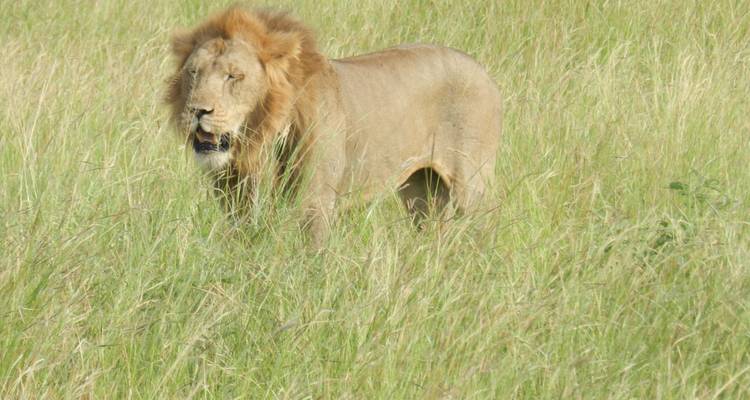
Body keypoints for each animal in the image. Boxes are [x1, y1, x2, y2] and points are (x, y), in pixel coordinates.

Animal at [165, 6, 502, 244]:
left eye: (233, 76)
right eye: (193, 72)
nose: (197, 110)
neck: (260, 139)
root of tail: (483, 72)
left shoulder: (313, 205)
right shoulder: (237, 202)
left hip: (470, 185)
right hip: (421, 190)